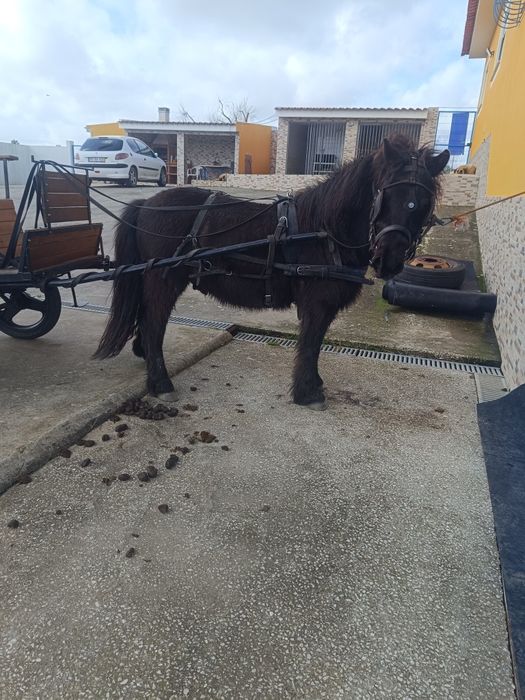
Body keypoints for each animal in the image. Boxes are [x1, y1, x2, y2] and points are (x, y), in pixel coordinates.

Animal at [95, 135, 450, 409]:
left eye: (424, 202)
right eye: (383, 192)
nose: (389, 259)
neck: (323, 229)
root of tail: (146, 204)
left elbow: (315, 343)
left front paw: (314, 385)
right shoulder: (317, 303)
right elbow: (310, 344)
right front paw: (307, 393)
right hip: (164, 279)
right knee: (154, 324)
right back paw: (161, 383)